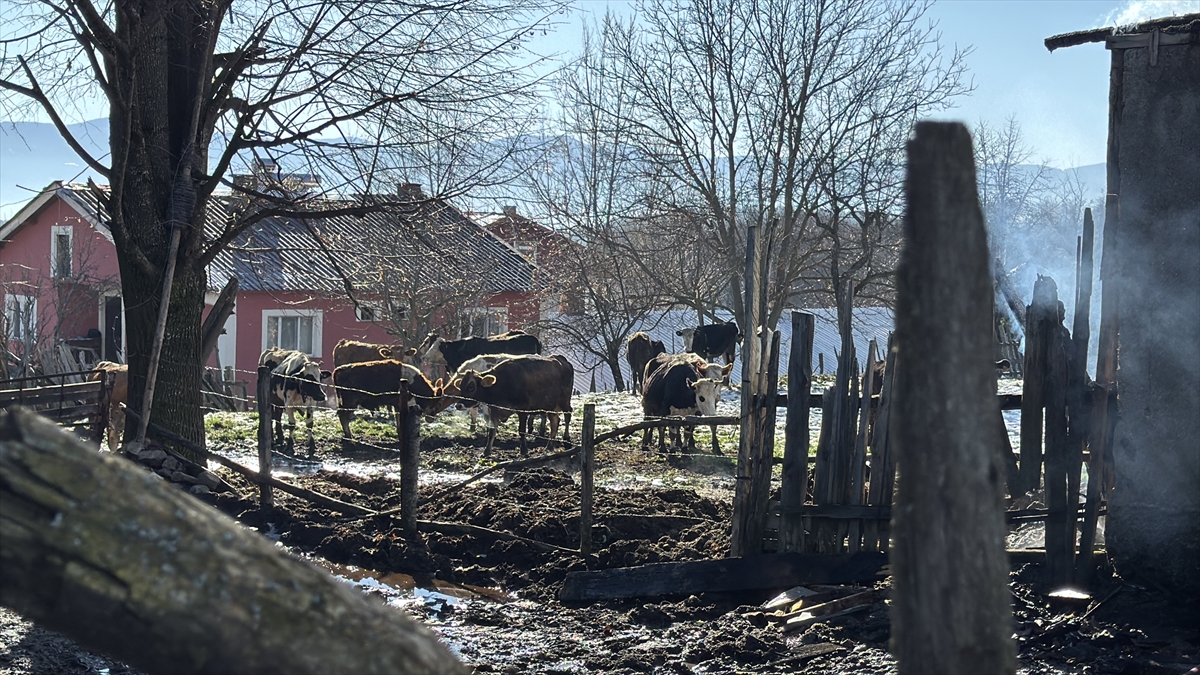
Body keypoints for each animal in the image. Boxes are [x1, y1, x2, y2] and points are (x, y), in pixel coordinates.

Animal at [444, 353, 573, 456]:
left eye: (471, 387)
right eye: (461, 386)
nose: (458, 405)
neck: (501, 384)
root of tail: (562, 359)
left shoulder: (522, 409)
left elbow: (521, 430)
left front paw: (524, 450)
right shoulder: (494, 410)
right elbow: (492, 431)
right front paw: (486, 451)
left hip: (564, 400)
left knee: (567, 415)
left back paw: (567, 440)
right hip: (550, 406)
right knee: (555, 421)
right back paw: (549, 446)